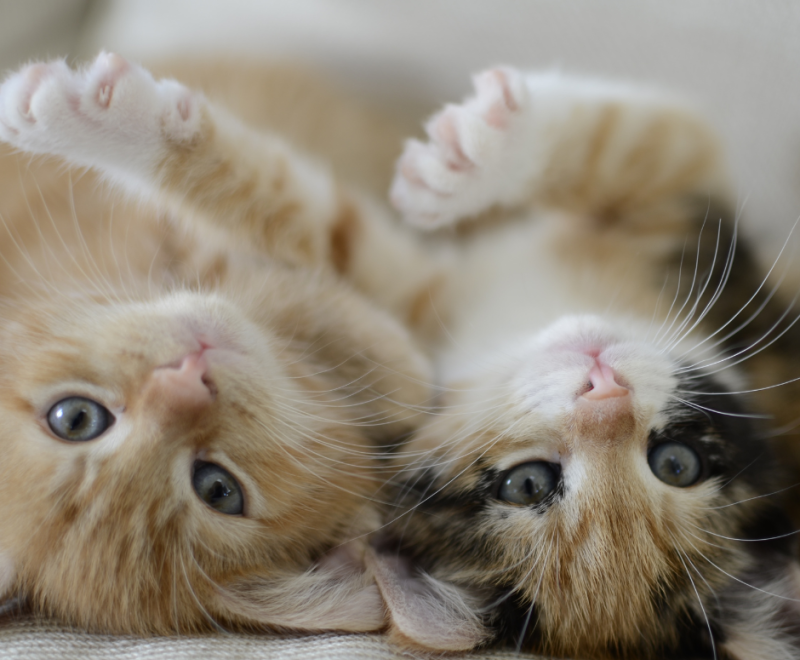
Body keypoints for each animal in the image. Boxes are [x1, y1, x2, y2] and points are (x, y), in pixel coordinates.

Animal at [376, 68, 800, 660]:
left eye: (676, 464)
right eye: (528, 484)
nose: (604, 389)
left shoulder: (685, 207)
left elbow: (635, 142)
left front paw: (473, 153)